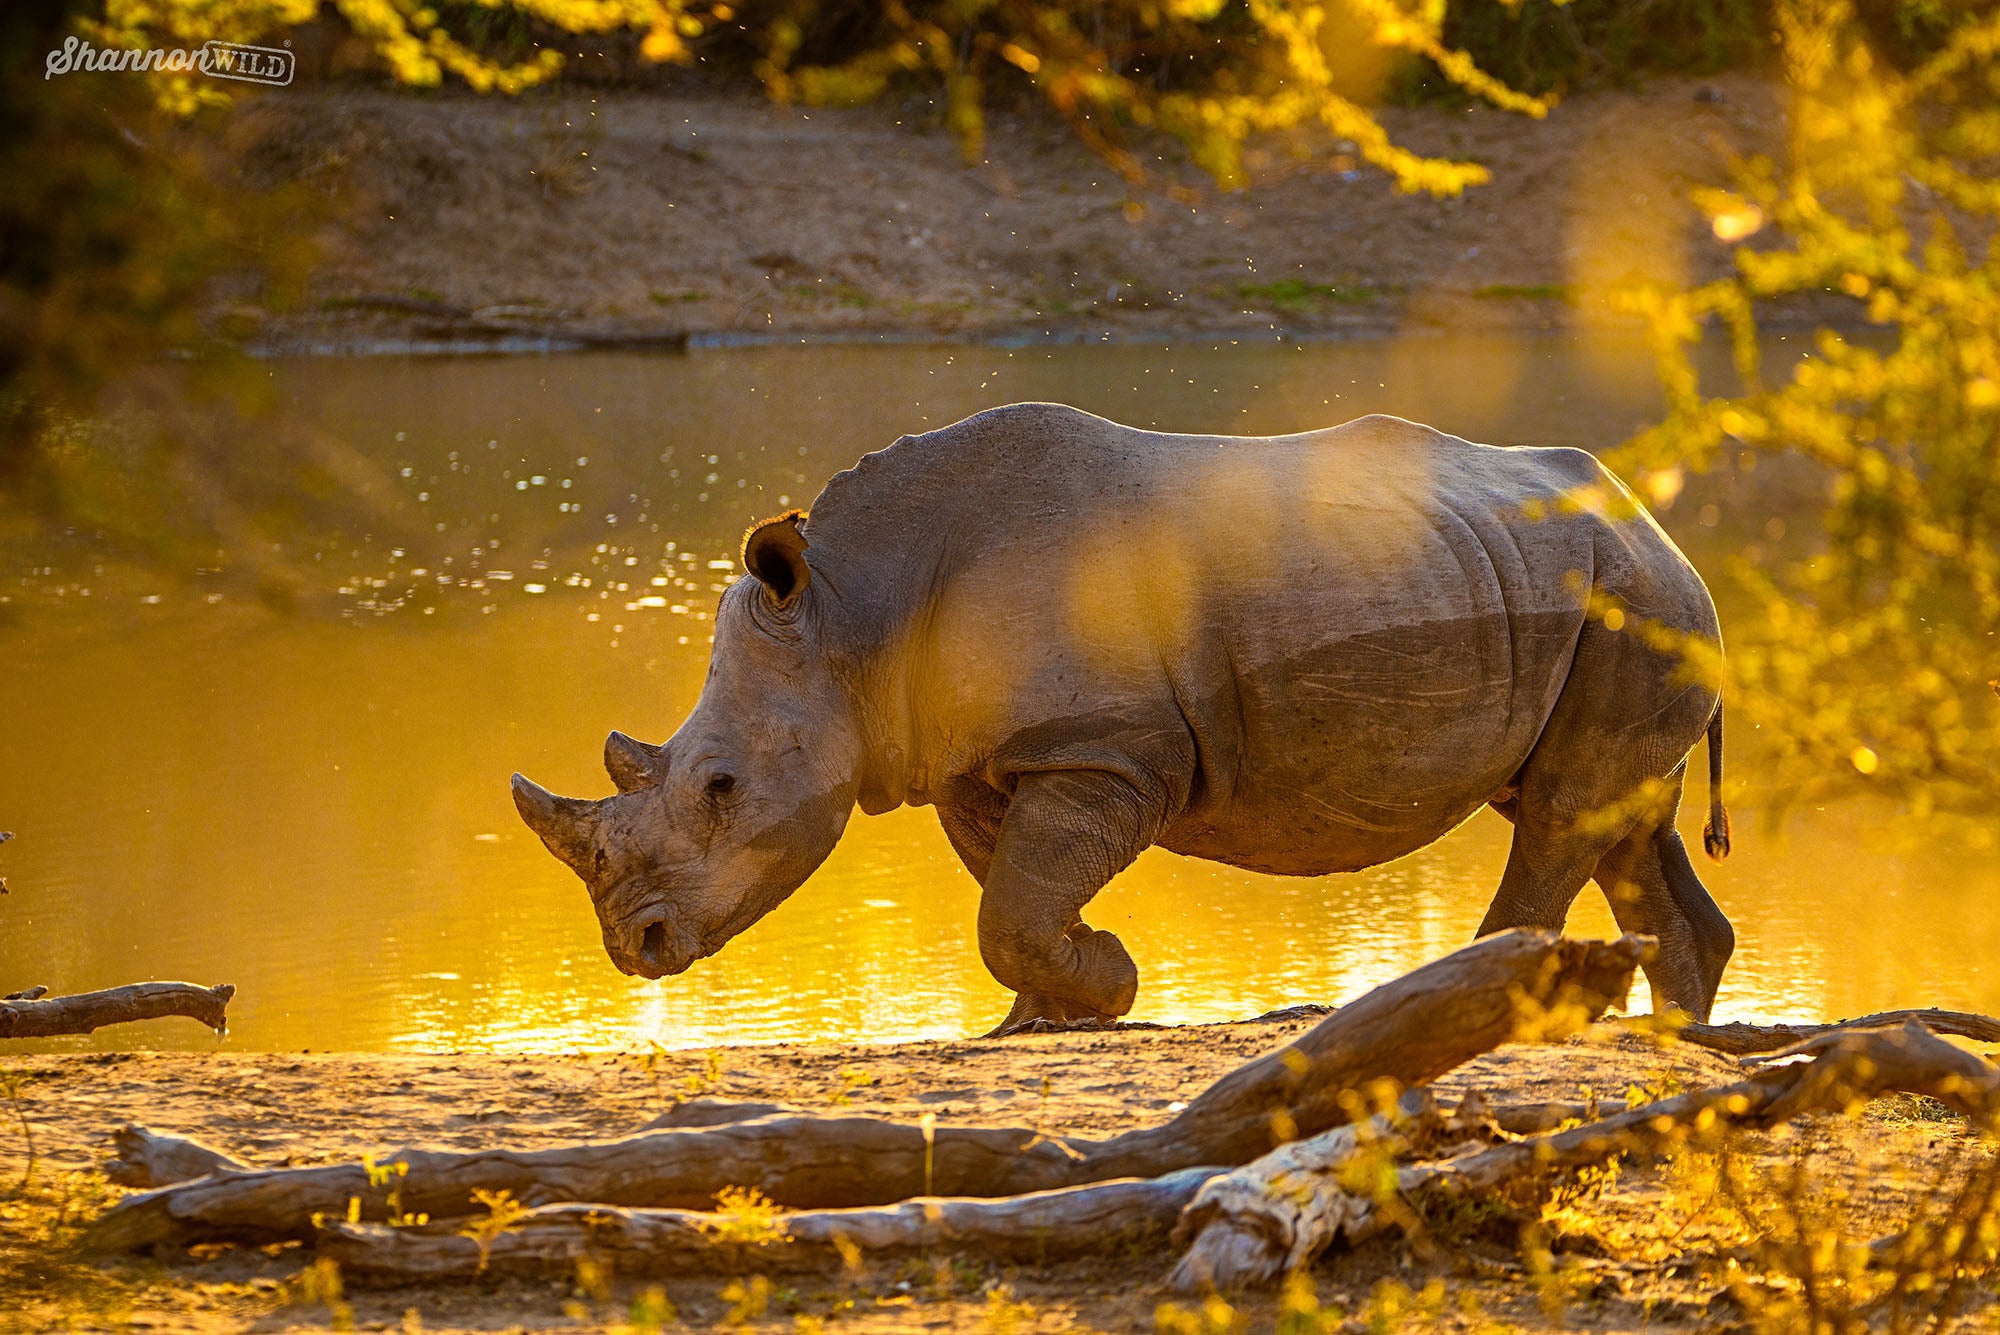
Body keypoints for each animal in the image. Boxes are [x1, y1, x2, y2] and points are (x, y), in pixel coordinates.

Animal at [516, 407, 1736, 1031]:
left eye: (721, 787)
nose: (636, 947)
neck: (851, 611)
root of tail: (1654, 519)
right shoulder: (987, 759)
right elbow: (1005, 895)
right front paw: (1051, 1015)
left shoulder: (1104, 753)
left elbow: (1012, 903)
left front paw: (1098, 983)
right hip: (1608, 601)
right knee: (1607, 815)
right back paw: (1673, 1042)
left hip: (1632, 603)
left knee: (1564, 812)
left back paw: (1475, 1005)